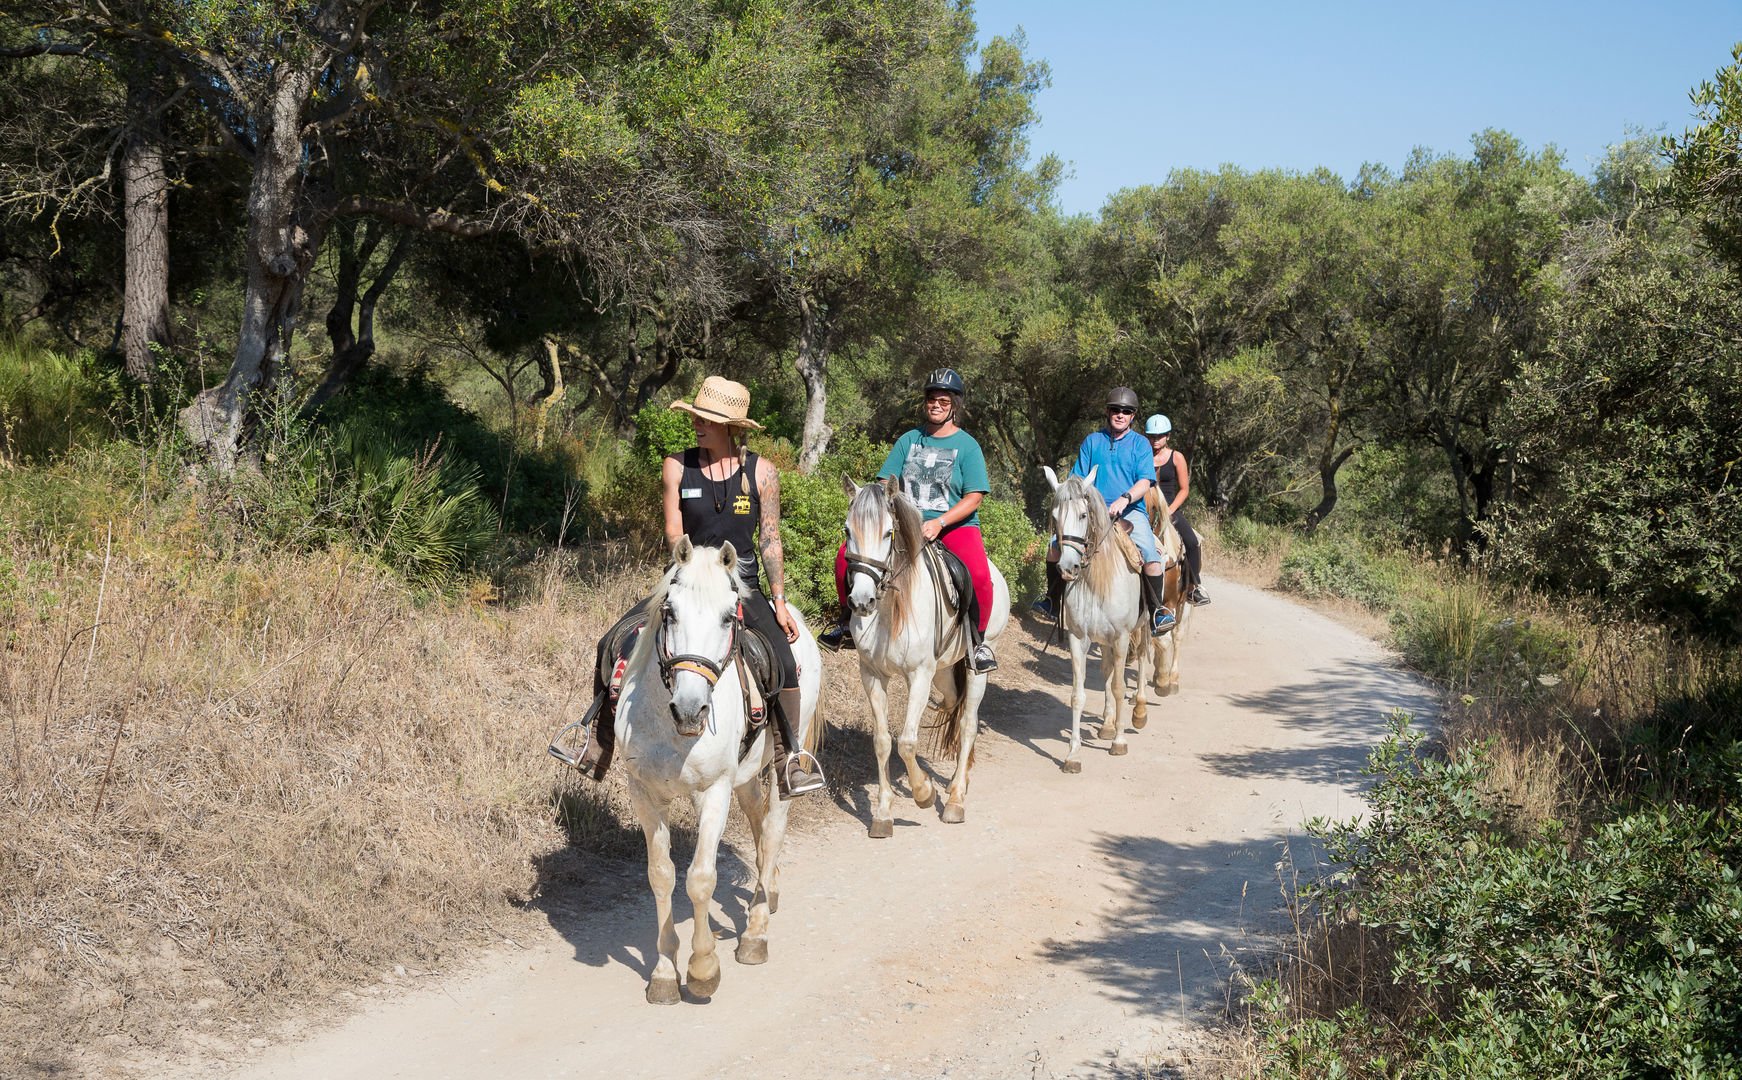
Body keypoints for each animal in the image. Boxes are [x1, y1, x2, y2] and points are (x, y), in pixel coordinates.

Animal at [615, 537, 822, 1004]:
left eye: (730, 617)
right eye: (670, 612)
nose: (691, 710)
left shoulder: (713, 791)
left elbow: (700, 878)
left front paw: (703, 968)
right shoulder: (644, 793)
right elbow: (661, 876)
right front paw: (663, 974)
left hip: (781, 765)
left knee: (774, 828)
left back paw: (756, 934)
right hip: (742, 778)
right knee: (759, 825)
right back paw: (768, 890)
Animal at [840, 477, 1011, 838]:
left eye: (889, 533)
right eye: (848, 530)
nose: (862, 601)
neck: (890, 610)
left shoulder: (918, 675)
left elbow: (906, 742)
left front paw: (923, 793)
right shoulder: (872, 674)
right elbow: (882, 741)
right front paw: (883, 814)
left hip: (976, 667)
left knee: (968, 723)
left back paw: (956, 799)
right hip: (944, 671)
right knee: (952, 701)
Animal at [1042, 466, 1156, 773]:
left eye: (1083, 515)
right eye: (1055, 516)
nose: (1068, 568)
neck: (1095, 580)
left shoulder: (1122, 637)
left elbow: (1118, 687)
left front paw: (1119, 742)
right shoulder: (1078, 638)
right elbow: (1078, 694)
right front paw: (1072, 755)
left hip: (1141, 629)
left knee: (1142, 659)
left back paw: (1139, 712)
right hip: (1104, 639)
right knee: (1106, 671)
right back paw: (1106, 724)